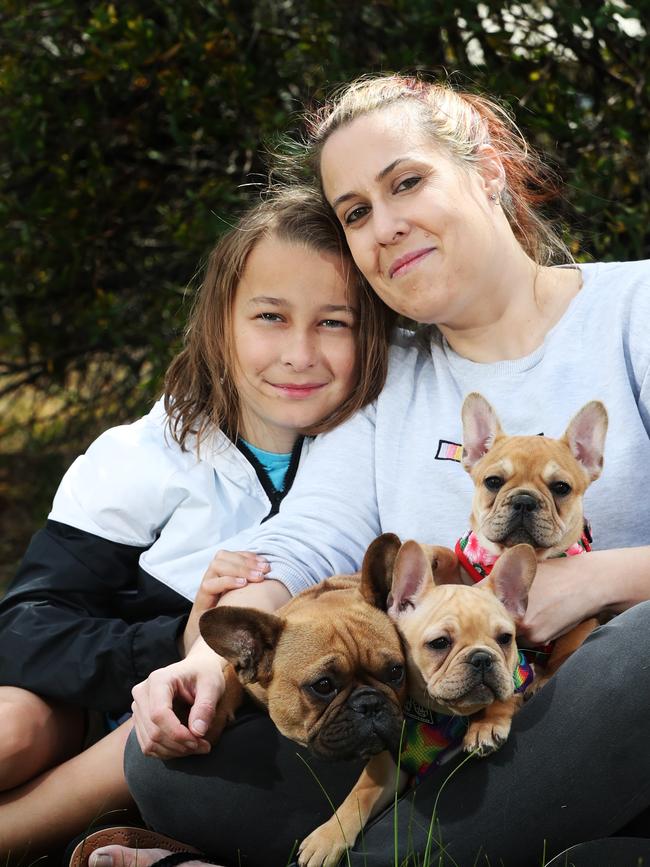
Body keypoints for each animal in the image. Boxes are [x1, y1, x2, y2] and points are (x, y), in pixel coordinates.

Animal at [296, 536, 536, 867]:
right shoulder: (390, 766)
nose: (483, 658)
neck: (442, 716)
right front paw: (328, 835)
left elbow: (507, 695)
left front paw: (486, 725)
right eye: (440, 643)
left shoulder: (519, 677)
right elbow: (361, 791)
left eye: (505, 639)